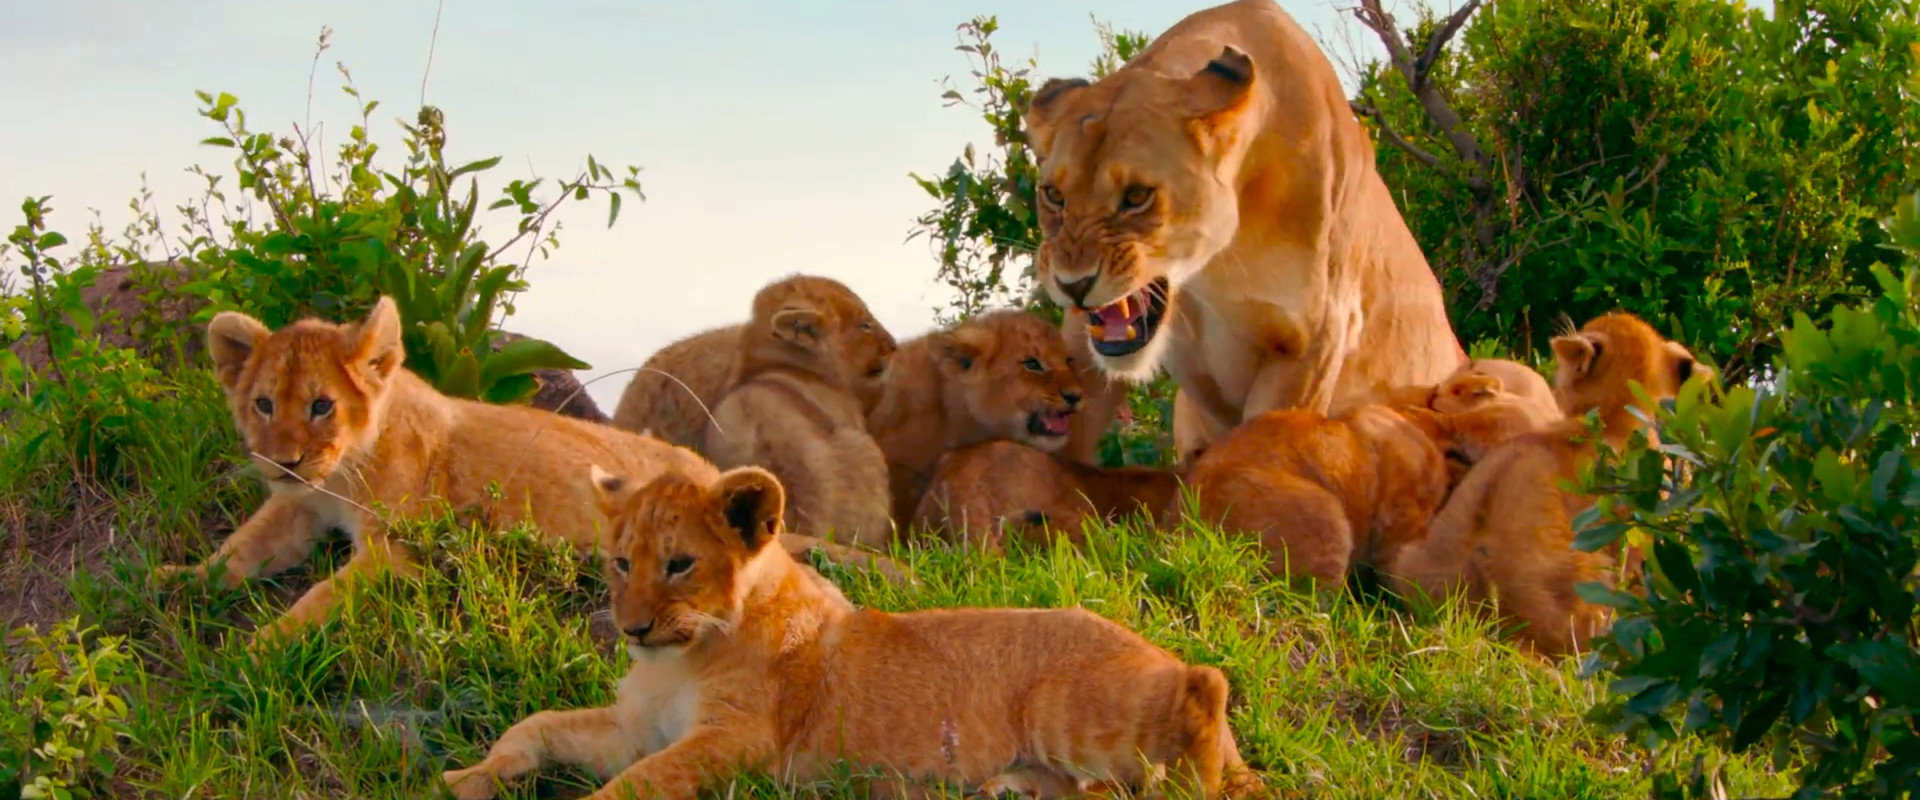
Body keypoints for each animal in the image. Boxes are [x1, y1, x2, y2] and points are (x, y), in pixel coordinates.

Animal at [442, 465, 1257, 800]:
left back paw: (1195, 785)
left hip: (1075, 707)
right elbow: (537, 724)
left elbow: (638, 785)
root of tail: (1150, 647)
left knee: (1208, 684)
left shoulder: (740, 741)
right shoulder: (636, 726)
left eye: (678, 564)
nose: (634, 628)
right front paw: (470, 778)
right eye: (620, 562)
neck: (681, 656)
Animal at [1025, 0, 1465, 465]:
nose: (1073, 285)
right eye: (1053, 195)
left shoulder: (1312, 343)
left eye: (1137, 196)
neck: (1210, 266)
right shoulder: (1083, 341)